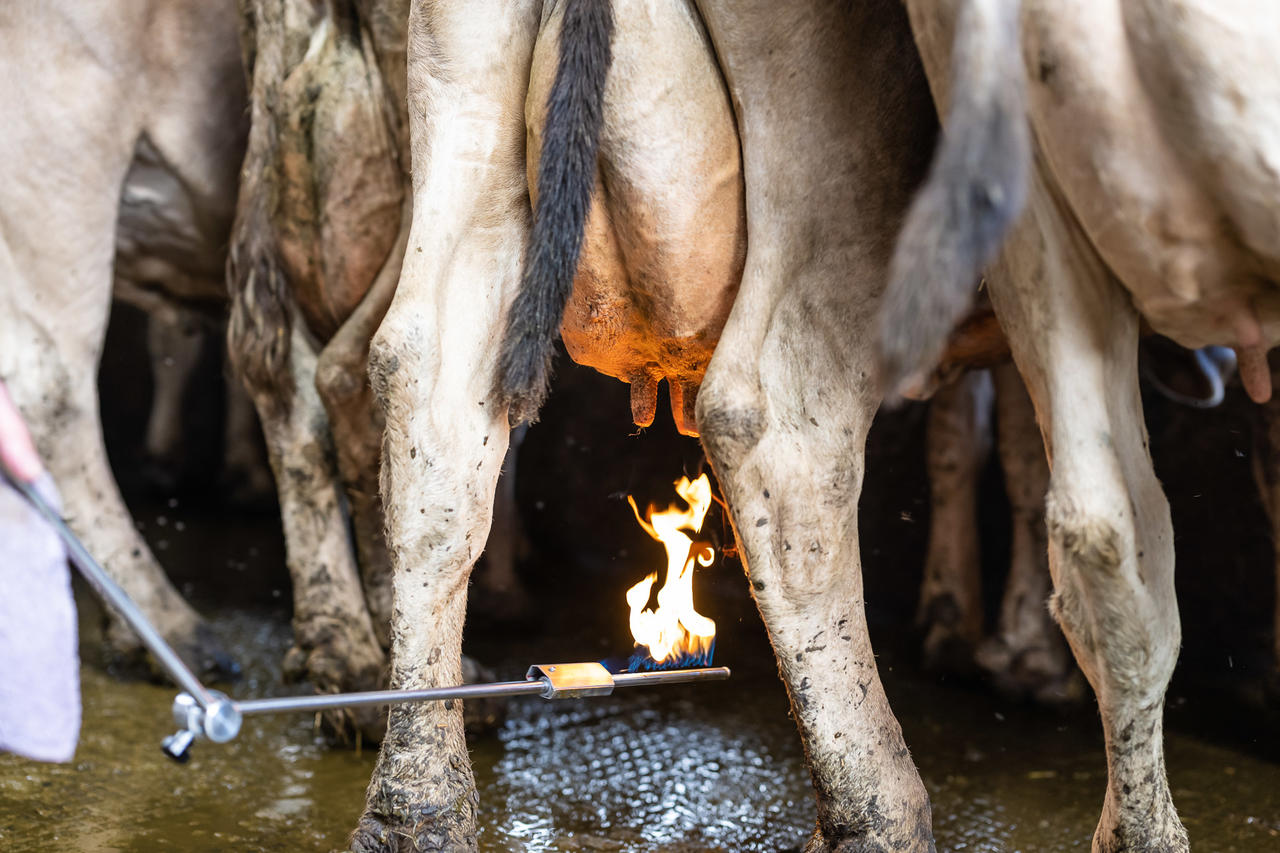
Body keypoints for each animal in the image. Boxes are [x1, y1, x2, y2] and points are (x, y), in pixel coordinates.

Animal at [350, 1, 942, 850]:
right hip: (839, 161)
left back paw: (415, 812)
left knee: (426, 390)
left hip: (461, 100)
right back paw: (880, 815)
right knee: (784, 431)